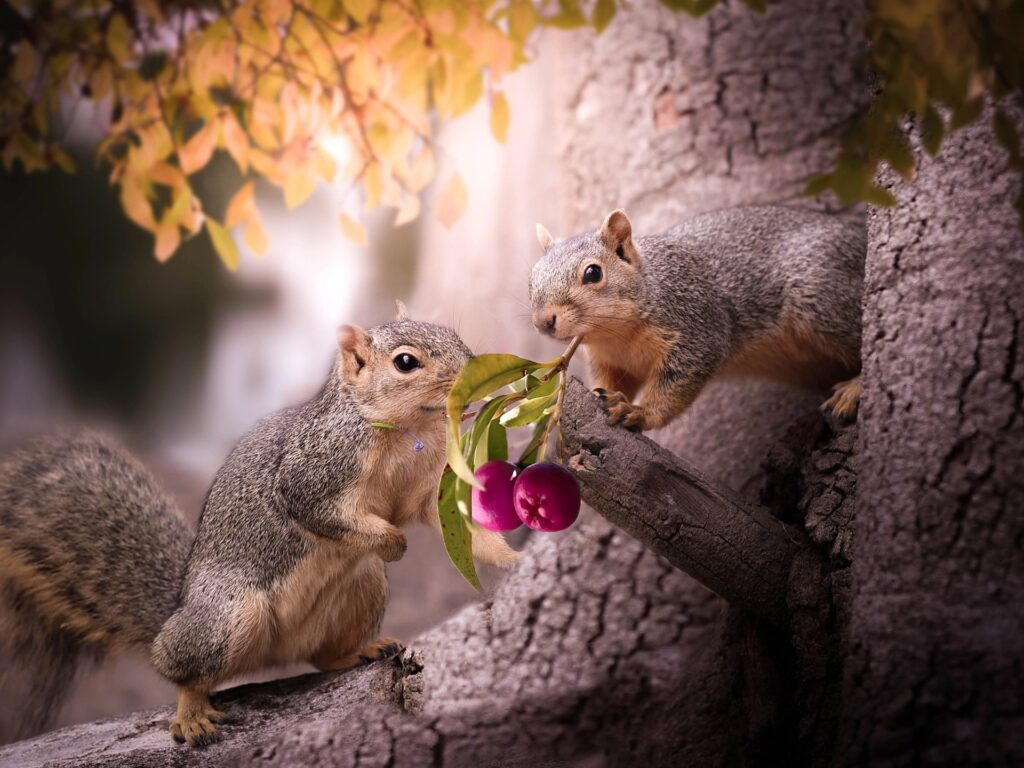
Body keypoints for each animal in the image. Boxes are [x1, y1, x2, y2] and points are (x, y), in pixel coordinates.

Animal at [0, 306, 517, 747]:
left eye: (453, 334)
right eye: (406, 362)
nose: (474, 370)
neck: (405, 430)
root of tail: (177, 608)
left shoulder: (428, 486)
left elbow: (457, 522)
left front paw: (514, 558)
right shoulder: (311, 476)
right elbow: (322, 512)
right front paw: (391, 541)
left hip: (362, 589)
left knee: (320, 656)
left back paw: (357, 652)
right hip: (228, 617)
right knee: (181, 671)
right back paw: (191, 713)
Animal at [529, 205, 865, 430]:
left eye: (593, 273)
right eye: (532, 276)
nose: (543, 321)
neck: (616, 334)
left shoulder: (697, 330)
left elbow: (675, 385)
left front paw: (639, 412)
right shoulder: (611, 360)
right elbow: (612, 380)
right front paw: (607, 395)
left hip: (821, 295)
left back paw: (854, 389)